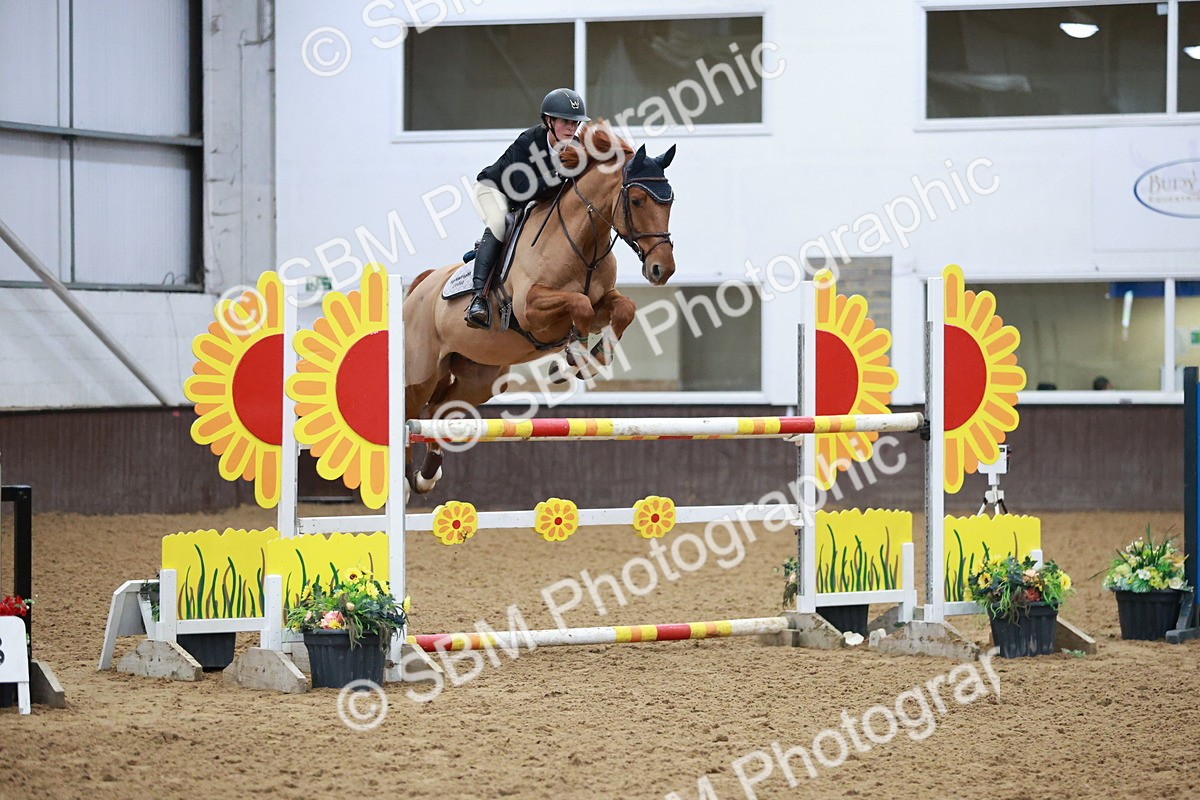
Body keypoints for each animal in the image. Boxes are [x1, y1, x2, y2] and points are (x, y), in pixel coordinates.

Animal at [402, 121, 677, 493]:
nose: (663, 269)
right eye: (636, 200)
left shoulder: (603, 302)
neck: (583, 243)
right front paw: (574, 359)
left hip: (480, 376)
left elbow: (624, 308)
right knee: (409, 413)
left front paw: (593, 358)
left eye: (670, 200)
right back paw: (406, 480)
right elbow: (580, 306)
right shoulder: (531, 310)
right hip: (421, 373)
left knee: (438, 411)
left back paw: (427, 475)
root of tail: (421, 286)